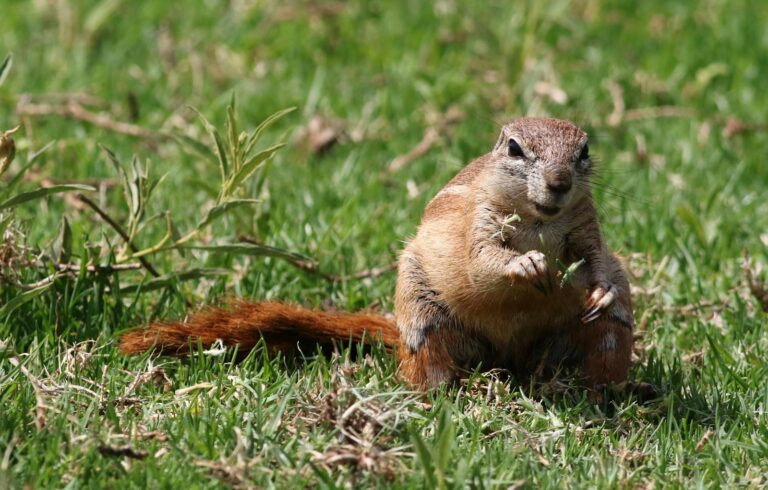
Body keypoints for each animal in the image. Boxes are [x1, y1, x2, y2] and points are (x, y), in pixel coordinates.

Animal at [120, 117, 634, 390]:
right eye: (514, 148)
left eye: (584, 150)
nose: (560, 182)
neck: (539, 221)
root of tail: (512, 359)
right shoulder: (479, 223)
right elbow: (482, 260)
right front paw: (525, 264)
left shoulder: (587, 227)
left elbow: (595, 259)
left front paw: (600, 288)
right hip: (425, 318)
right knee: (429, 362)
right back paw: (447, 393)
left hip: (610, 331)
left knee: (603, 346)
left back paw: (599, 391)